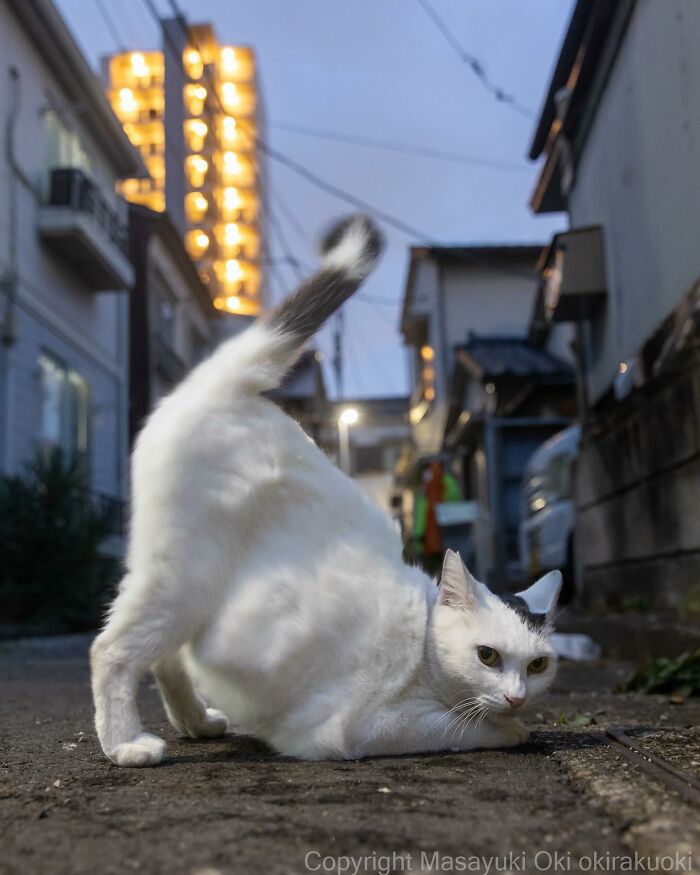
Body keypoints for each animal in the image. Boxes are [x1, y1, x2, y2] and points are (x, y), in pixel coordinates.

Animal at [93, 217, 564, 768]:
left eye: (538, 665)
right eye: (487, 656)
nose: (517, 696)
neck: (422, 645)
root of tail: (226, 386)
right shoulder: (360, 728)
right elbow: (463, 727)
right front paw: (511, 728)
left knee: (167, 658)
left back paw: (196, 722)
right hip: (183, 577)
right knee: (111, 649)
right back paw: (124, 743)